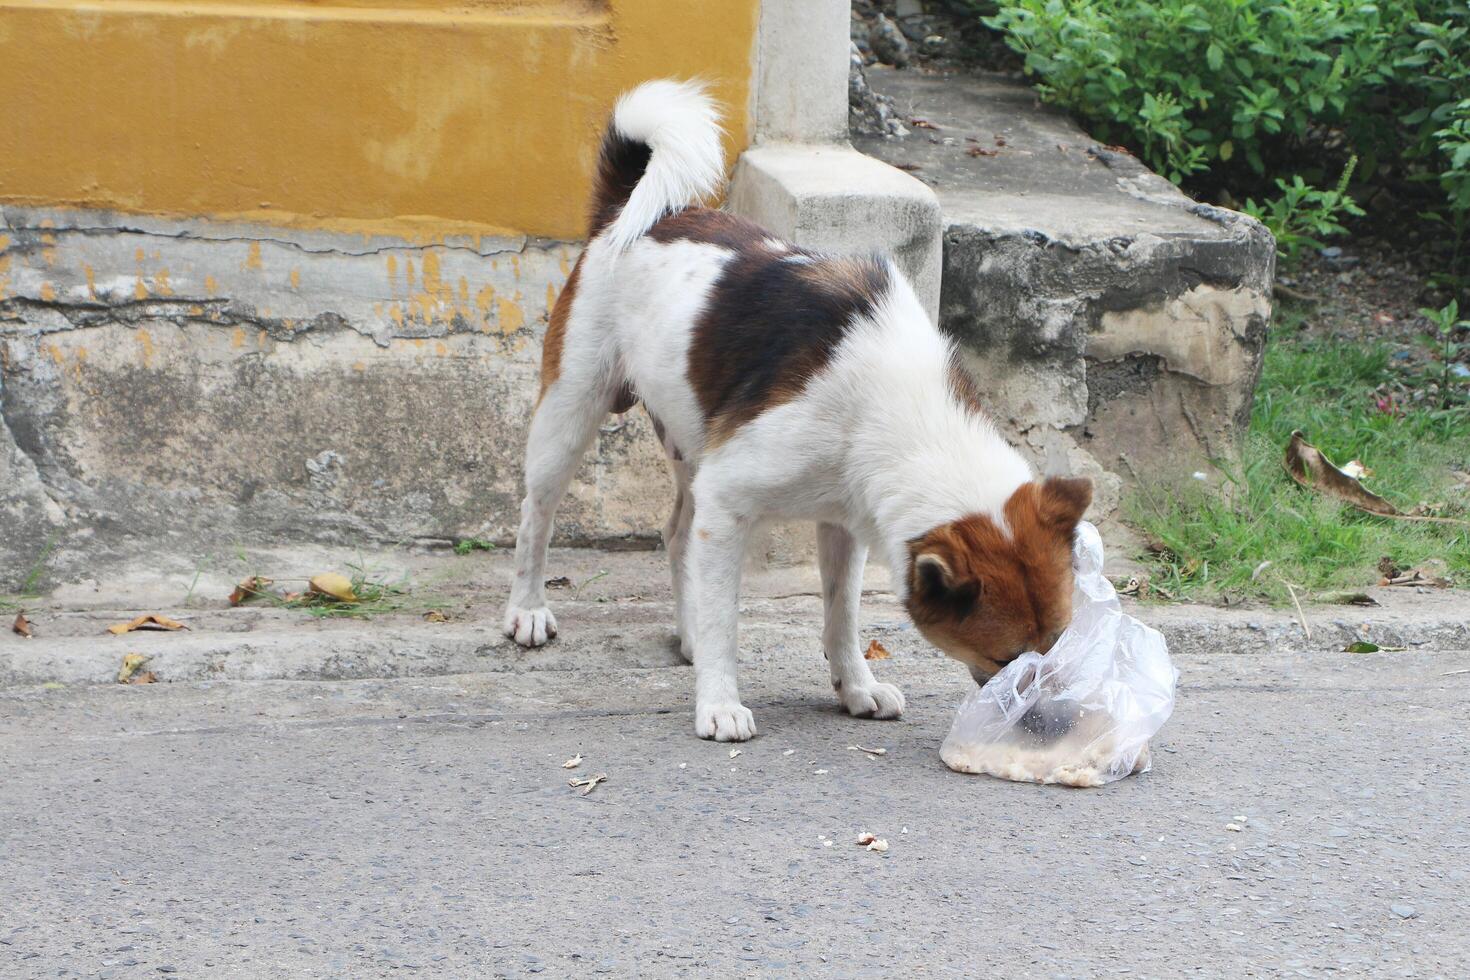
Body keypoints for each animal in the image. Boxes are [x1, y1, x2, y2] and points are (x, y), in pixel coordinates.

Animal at [505, 82, 1093, 743]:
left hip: (692, 441)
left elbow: (842, 615)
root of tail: (623, 216)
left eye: (1058, 642)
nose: (1054, 723)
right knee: (537, 515)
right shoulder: (729, 501)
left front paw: (856, 688)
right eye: (1004, 658)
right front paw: (719, 703)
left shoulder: (842, 519)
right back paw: (527, 611)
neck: (899, 410)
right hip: (571, 411)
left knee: (677, 534)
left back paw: (684, 632)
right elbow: (727, 623)